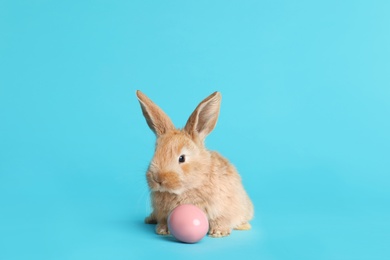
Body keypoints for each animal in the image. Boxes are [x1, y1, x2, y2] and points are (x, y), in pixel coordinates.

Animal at [136, 90, 254, 238]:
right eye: (155, 152)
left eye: (182, 158)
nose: (158, 179)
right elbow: (163, 220)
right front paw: (162, 230)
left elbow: (221, 219)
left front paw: (218, 232)